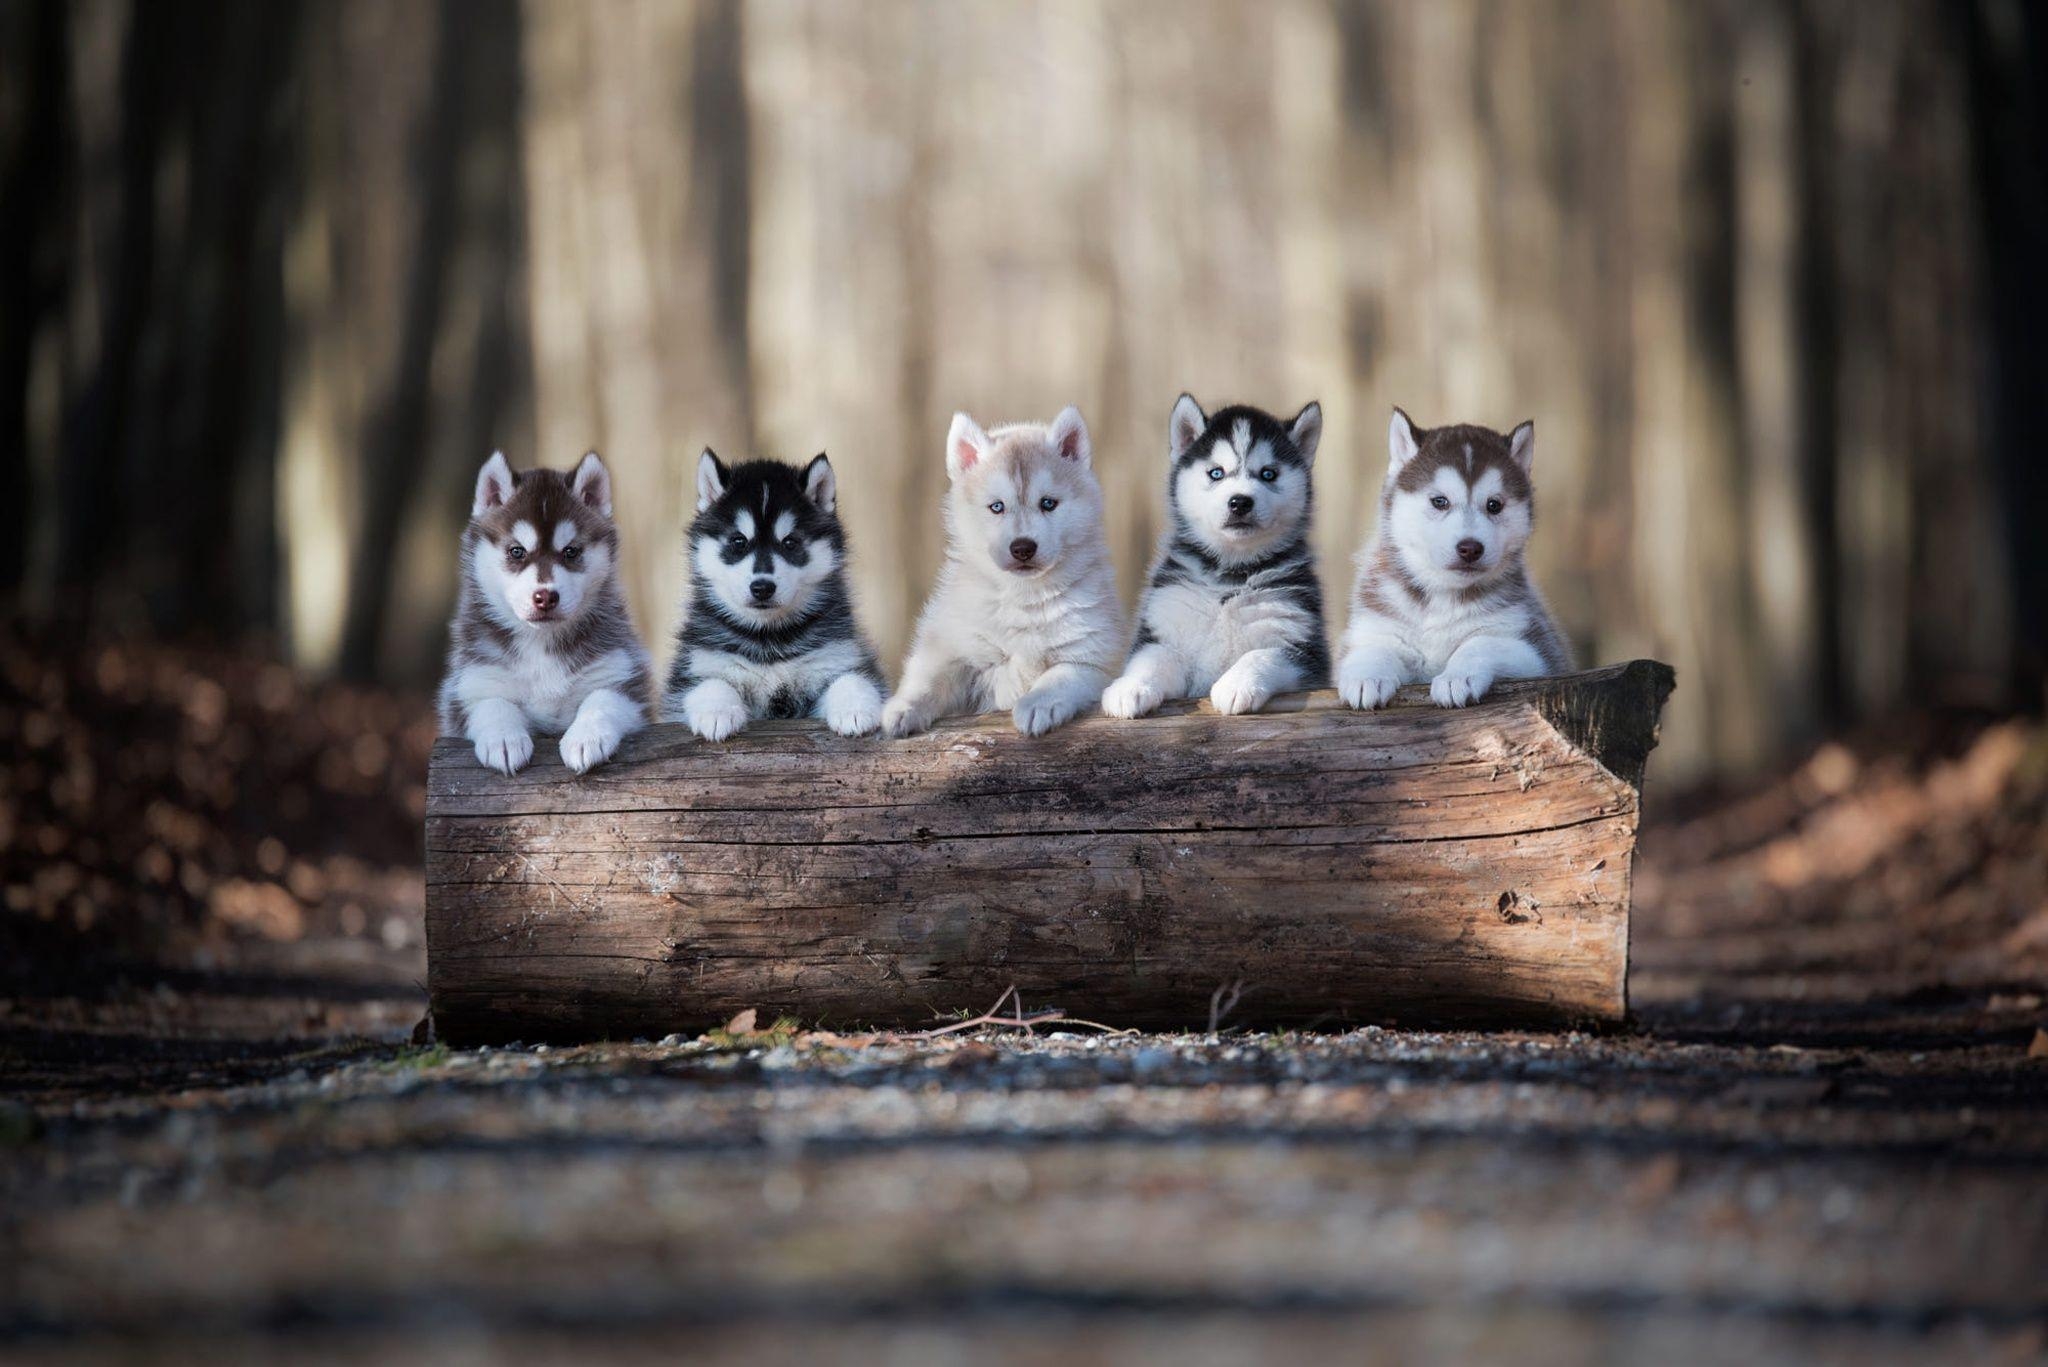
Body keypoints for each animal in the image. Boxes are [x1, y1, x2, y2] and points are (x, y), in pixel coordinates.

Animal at [438, 448, 647, 770]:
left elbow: (602, 700)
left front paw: (586, 737)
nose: (546, 596)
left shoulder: (621, 674)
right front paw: (504, 740)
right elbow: (492, 703)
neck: (540, 642)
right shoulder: (472, 683)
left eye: (571, 551)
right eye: (516, 551)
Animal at [655, 450, 880, 741]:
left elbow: (852, 677)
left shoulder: (835, 656)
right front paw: (717, 712)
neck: (769, 638)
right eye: (739, 541)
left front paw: (855, 708)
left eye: (790, 542)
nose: (762, 587)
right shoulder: (696, 665)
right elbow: (709, 682)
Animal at [884, 405, 1130, 737]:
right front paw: (903, 707)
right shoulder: (952, 644)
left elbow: (1058, 677)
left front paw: (1037, 704)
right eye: (997, 507)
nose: (1023, 548)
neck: (1024, 596)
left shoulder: (1090, 658)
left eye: (1048, 503)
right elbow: (930, 679)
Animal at [1105, 393, 1327, 721]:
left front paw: (1237, 684)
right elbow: (1151, 659)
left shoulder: (1303, 647)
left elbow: (1262, 653)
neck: (1230, 575)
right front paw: (1131, 687)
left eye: (1268, 474)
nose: (1240, 502)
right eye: (1216, 473)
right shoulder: (1165, 627)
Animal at [1335, 409, 1572, 713]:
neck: (1443, 595)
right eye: (1440, 501)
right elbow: (1373, 648)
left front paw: (1457, 677)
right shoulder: (1375, 625)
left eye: (1494, 505)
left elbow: (1481, 643)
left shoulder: (1537, 651)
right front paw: (1367, 676)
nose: (1470, 548)